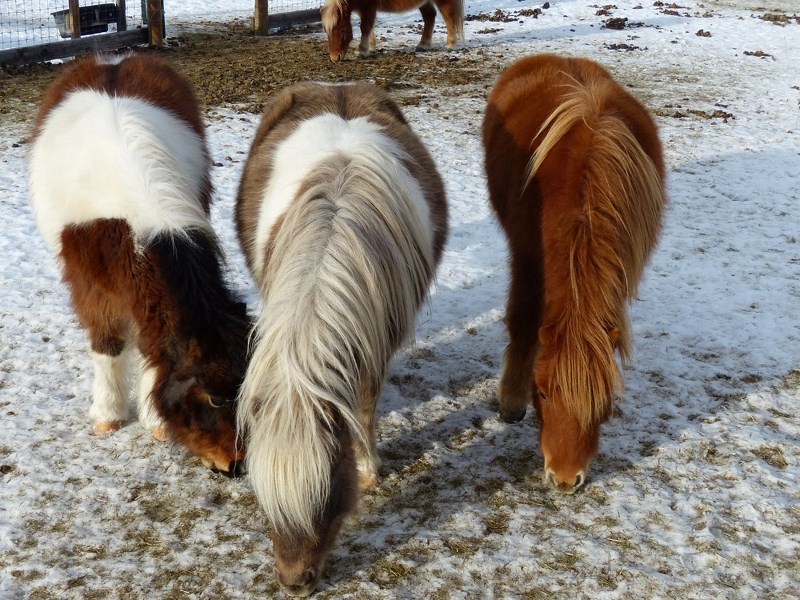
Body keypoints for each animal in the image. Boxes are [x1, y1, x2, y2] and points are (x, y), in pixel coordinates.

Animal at [26, 54, 250, 476]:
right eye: (213, 398)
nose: (235, 466)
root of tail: (111, 60)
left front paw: (155, 422)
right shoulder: (90, 286)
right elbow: (108, 344)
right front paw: (108, 416)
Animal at [236, 83, 450, 596]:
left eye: (328, 491)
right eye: (263, 497)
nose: (295, 583)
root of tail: (336, 88)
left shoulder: (376, 346)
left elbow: (366, 407)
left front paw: (370, 469)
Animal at [318, 0, 462, 61]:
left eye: (342, 30)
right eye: (327, 31)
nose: (335, 58)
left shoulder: (369, 7)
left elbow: (365, 26)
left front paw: (361, 50)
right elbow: (369, 27)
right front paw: (371, 47)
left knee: (449, 17)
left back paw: (450, 44)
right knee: (430, 15)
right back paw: (423, 44)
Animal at [484, 52, 664, 492]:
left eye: (602, 403)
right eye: (543, 393)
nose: (565, 480)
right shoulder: (526, 257)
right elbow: (522, 321)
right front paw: (511, 401)